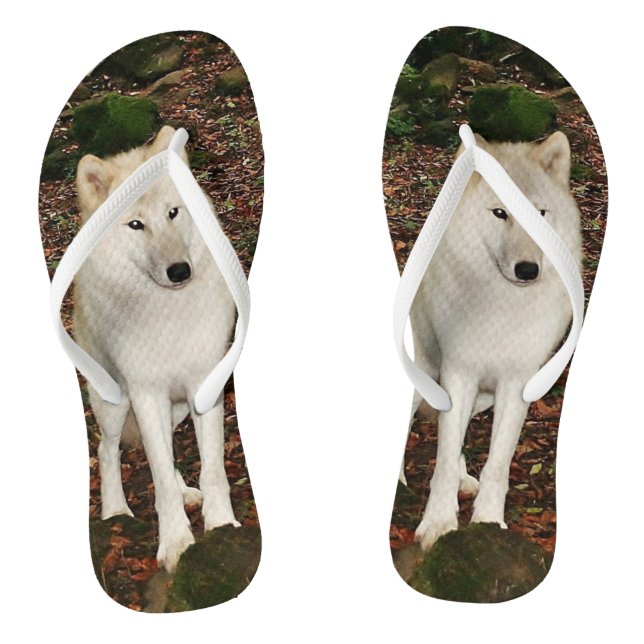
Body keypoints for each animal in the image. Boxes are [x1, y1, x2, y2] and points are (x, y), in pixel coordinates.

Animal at [74, 126, 239, 572]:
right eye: (135, 224)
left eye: (173, 213)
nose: (180, 271)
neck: (168, 316)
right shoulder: (146, 393)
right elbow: (159, 474)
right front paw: (177, 544)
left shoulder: (204, 387)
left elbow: (211, 468)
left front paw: (221, 526)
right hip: (116, 403)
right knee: (107, 449)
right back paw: (115, 510)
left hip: (176, 408)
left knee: (167, 452)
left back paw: (187, 493)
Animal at [409, 131, 582, 550]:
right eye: (500, 213)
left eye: (539, 214)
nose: (528, 270)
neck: (502, 308)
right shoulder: (459, 372)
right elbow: (442, 458)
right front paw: (438, 526)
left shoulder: (515, 385)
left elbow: (497, 463)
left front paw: (487, 521)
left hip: (481, 399)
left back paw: (464, 480)